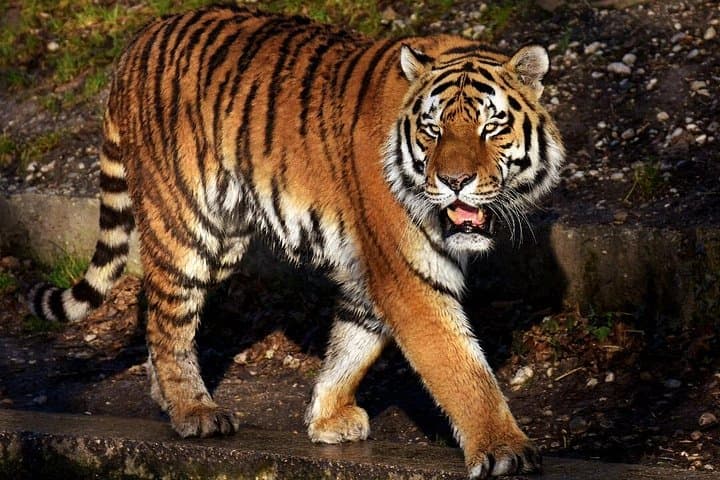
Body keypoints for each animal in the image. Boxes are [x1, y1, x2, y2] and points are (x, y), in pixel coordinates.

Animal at [28, 5, 564, 479]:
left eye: (491, 127)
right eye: (432, 130)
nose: (454, 182)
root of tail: (138, 41)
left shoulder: (371, 271)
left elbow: (353, 344)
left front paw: (326, 417)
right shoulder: (408, 274)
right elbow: (460, 368)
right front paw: (503, 451)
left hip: (224, 239)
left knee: (157, 310)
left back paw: (166, 397)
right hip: (184, 225)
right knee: (170, 319)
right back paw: (194, 412)